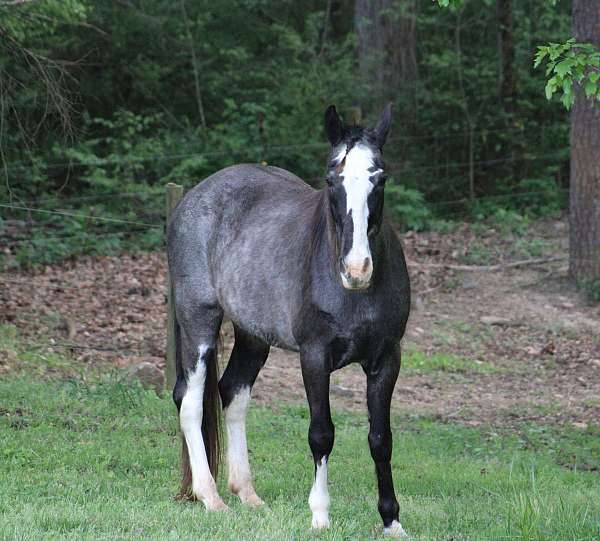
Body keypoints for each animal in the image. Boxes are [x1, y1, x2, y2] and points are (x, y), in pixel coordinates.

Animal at [169, 102, 412, 536]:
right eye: (332, 179)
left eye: (380, 178)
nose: (356, 269)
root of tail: (193, 197)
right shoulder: (314, 357)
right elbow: (321, 434)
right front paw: (320, 515)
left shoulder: (386, 359)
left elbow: (380, 438)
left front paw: (391, 521)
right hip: (198, 321)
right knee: (191, 401)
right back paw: (211, 497)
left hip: (252, 336)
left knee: (232, 393)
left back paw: (247, 494)